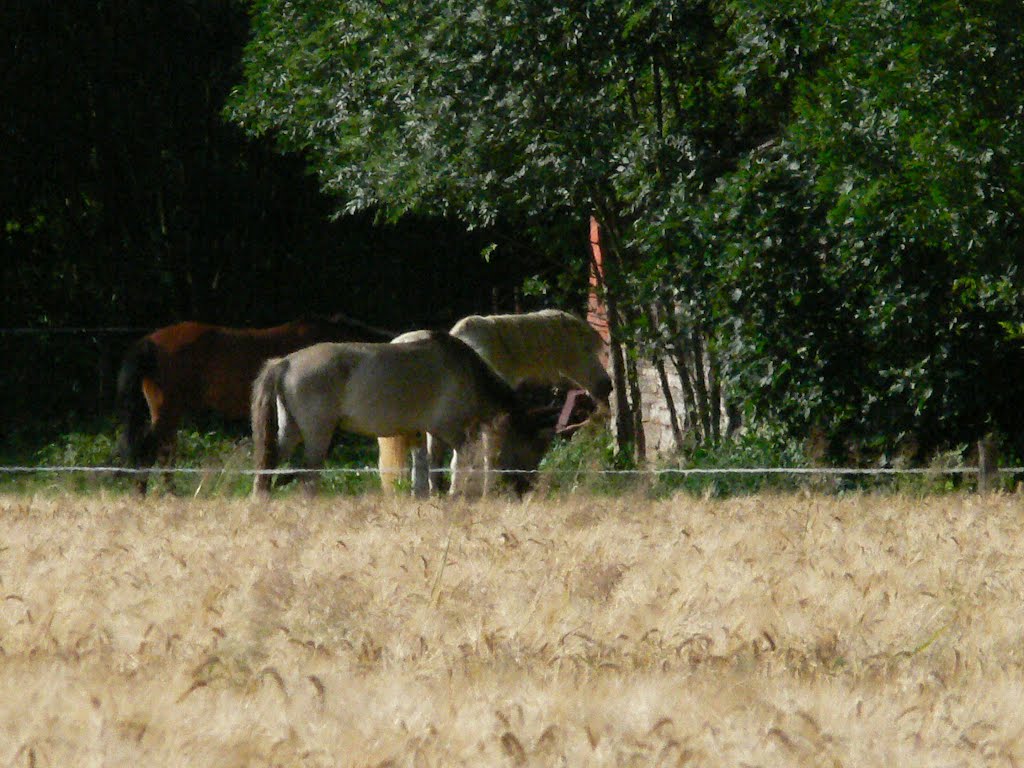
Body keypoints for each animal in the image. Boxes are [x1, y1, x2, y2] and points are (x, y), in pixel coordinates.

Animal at [117, 317, 391, 493]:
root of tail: (151, 341)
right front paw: (281, 480)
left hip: (170, 413)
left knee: (164, 453)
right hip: (168, 411)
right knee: (150, 450)